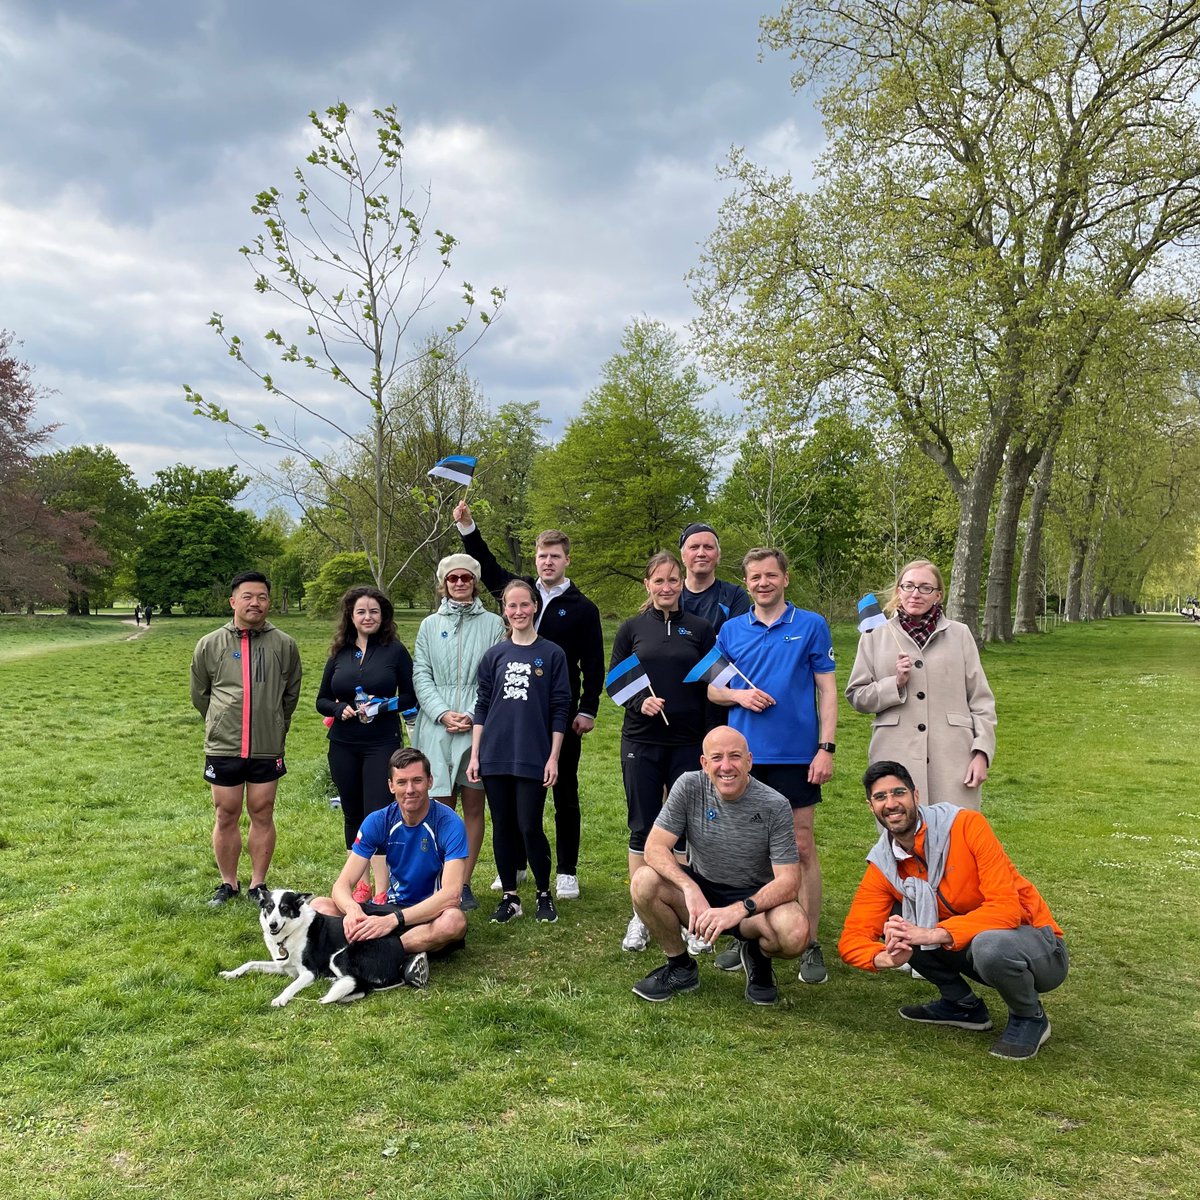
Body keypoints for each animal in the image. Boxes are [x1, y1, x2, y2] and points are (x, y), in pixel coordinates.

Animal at [223, 888, 429, 1008]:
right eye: (269, 907)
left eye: (284, 908)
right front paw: (232, 973)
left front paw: (281, 998)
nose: (272, 925)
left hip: (338, 957)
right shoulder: (283, 966)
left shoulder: (308, 972)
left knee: (361, 986)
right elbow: (250, 963)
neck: (292, 931)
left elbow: (291, 986)